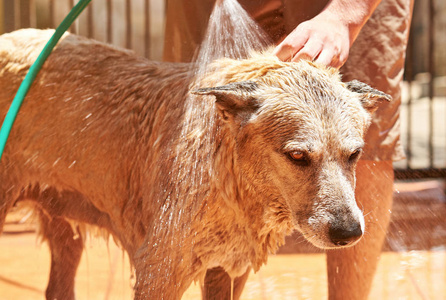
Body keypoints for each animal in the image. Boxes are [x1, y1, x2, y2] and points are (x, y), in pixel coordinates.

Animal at [0, 28, 390, 300]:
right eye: (297, 156)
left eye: (354, 155)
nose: (348, 233)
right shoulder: (159, 270)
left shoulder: (229, 270)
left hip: (63, 225)